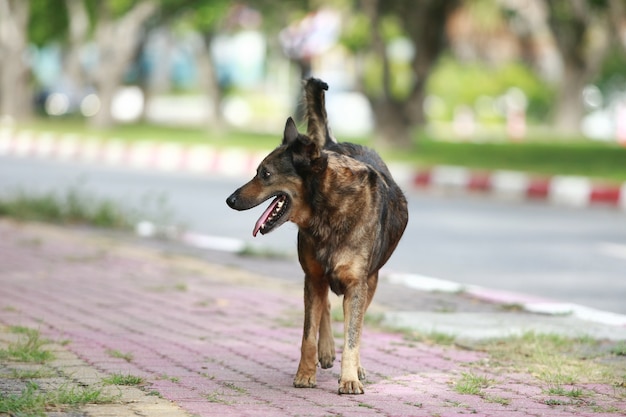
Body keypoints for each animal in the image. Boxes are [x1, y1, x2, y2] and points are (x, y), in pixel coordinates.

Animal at [227, 78, 408, 394]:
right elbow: (308, 334)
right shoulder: (311, 276)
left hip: (370, 280)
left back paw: (355, 366)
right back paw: (326, 351)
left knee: (354, 321)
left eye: (265, 174)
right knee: (323, 304)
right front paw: (305, 373)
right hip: (314, 275)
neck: (326, 210)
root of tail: (333, 144)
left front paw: (349, 377)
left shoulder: (358, 284)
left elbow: (353, 335)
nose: (230, 200)